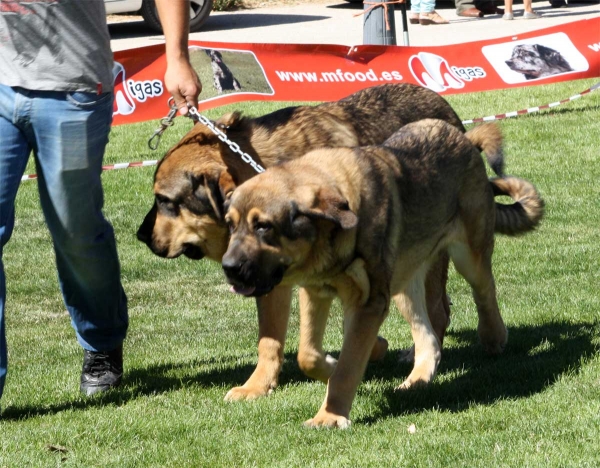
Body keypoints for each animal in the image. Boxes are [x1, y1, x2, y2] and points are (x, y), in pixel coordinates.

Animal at [137, 83, 468, 398]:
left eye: (164, 201)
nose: (140, 235)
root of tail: (442, 105)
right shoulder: (270, 280)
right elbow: (269, 339)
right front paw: (258, 385)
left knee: (437, 310)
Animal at [223, 120, 548, 428]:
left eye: (263, 226)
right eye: (230, 224)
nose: (228, 267)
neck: (332, 236)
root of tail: (464, 137)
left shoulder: (369, 302)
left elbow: (348, 367)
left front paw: (330, 416)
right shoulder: (315, 292)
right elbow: (308, 355)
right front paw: (334, 365)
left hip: (469, 256)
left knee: (484, 293)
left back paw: (493, 336)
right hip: (404, 282)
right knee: (427, 336)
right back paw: (416, 379)